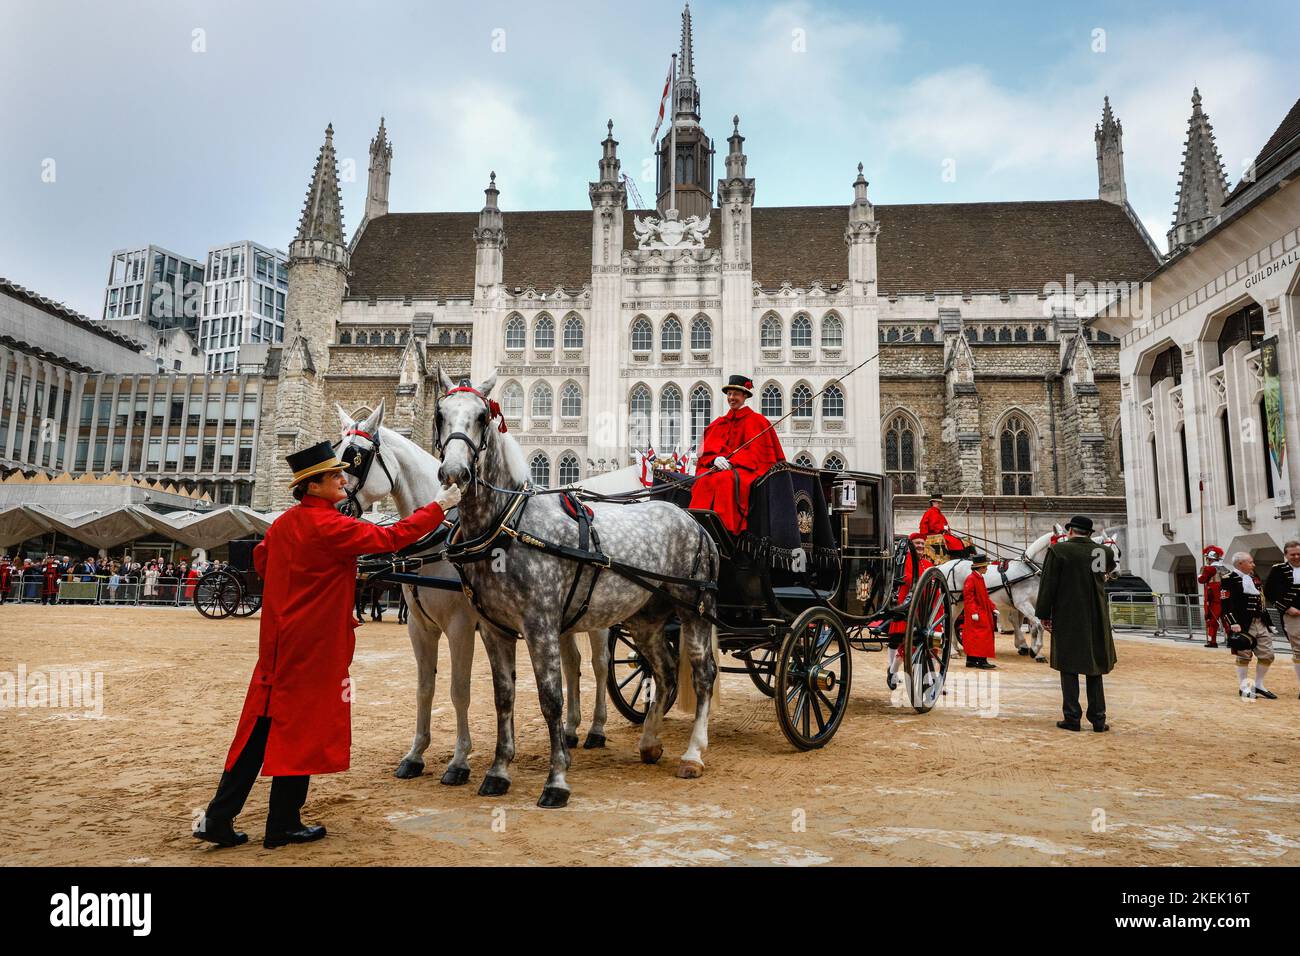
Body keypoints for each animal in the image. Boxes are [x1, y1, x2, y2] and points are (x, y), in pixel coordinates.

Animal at [340, 400, 613, 790]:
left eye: (355, 457)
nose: (338, 508)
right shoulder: (421, 628)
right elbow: (425, 688)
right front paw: (415, 754)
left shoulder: (460, 626)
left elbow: (459, 690)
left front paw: (459, 761)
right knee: (572, 664)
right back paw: (571, 731)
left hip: (597, 616)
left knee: (600, 665)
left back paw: (596, 728)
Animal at [436, 369, 722, 811]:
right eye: (440, 415)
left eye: (482, 417)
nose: (454, 473)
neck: (508, 525)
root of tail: (693, 520)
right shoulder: (495, 630)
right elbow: (504, 698)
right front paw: (498, 772)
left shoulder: (540, 625)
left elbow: (551, 699)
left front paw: (556, 781)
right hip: (645, 618)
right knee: (665, 670)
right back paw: (650, 742)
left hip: (694, 610)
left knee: (703, 673)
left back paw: (692, 754)